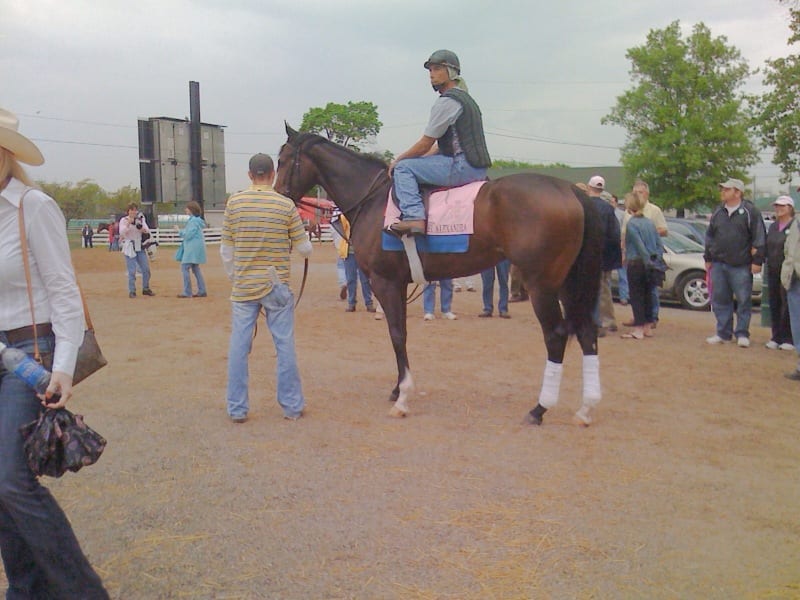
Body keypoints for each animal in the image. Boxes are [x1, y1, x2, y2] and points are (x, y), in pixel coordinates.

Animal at [278, 125, 604, 426]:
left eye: (282, 160)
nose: (280, 197)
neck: (373, 200)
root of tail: (569, 190)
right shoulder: (398, 283)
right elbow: (400, 333)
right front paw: (398, 389)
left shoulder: (385, 282)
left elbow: (396, 333)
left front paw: (403, 397)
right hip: (568, 284)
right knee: (586, 333)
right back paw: (586, 409)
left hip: (542, 285)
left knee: (555, 336)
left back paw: (539, 408)